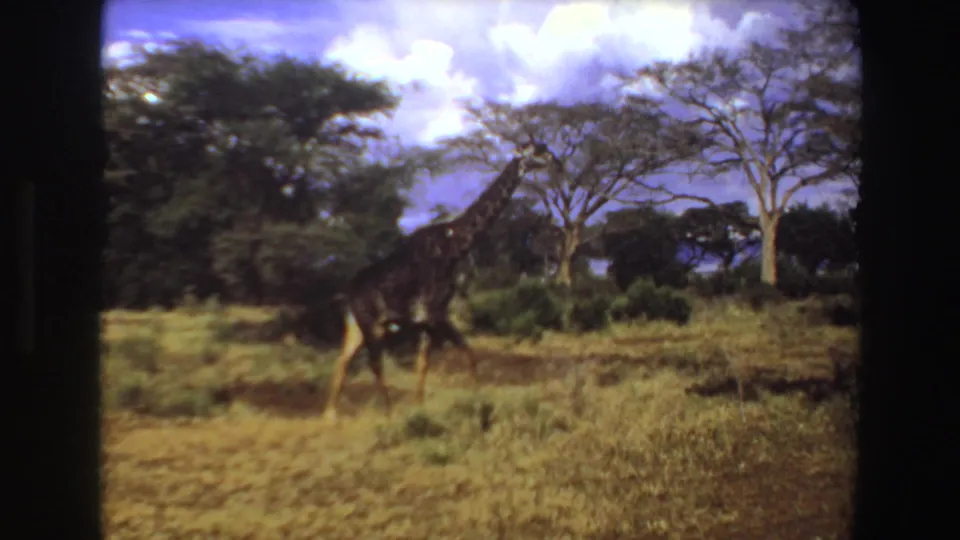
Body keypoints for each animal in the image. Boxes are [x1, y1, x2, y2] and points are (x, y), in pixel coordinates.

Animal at [323, 142, 563, 422]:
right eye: (536, 151)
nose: (558, 163)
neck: (455, 245)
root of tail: (347, 294)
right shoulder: (432, 314)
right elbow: (439, 359)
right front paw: (433, 407)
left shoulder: (436, 316)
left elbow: (459, 355)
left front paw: (460, 399)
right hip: (372, 325)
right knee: (373, 363)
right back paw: (389, 413)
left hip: (356, 325)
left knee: (343, 360)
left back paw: (330, 416)